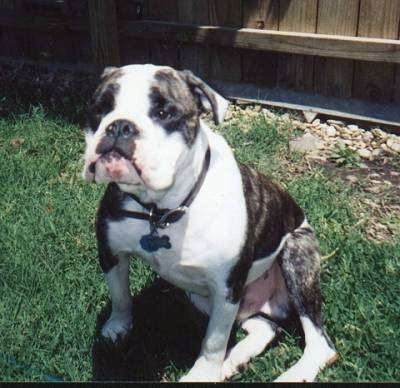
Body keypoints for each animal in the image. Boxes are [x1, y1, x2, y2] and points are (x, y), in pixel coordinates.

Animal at [83, 64, 340, 382]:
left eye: (164, 113)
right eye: (100, 109)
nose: (120, 126)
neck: (162, 210)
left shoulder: (225, 288)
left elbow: (214, 341)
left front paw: (202, 374)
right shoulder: (112, 254)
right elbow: (121, 297)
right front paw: (116, 329)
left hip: (296, 260)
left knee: (319, 341)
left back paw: (292, 374)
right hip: (203, 296)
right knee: (266, 327)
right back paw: (235, 359)